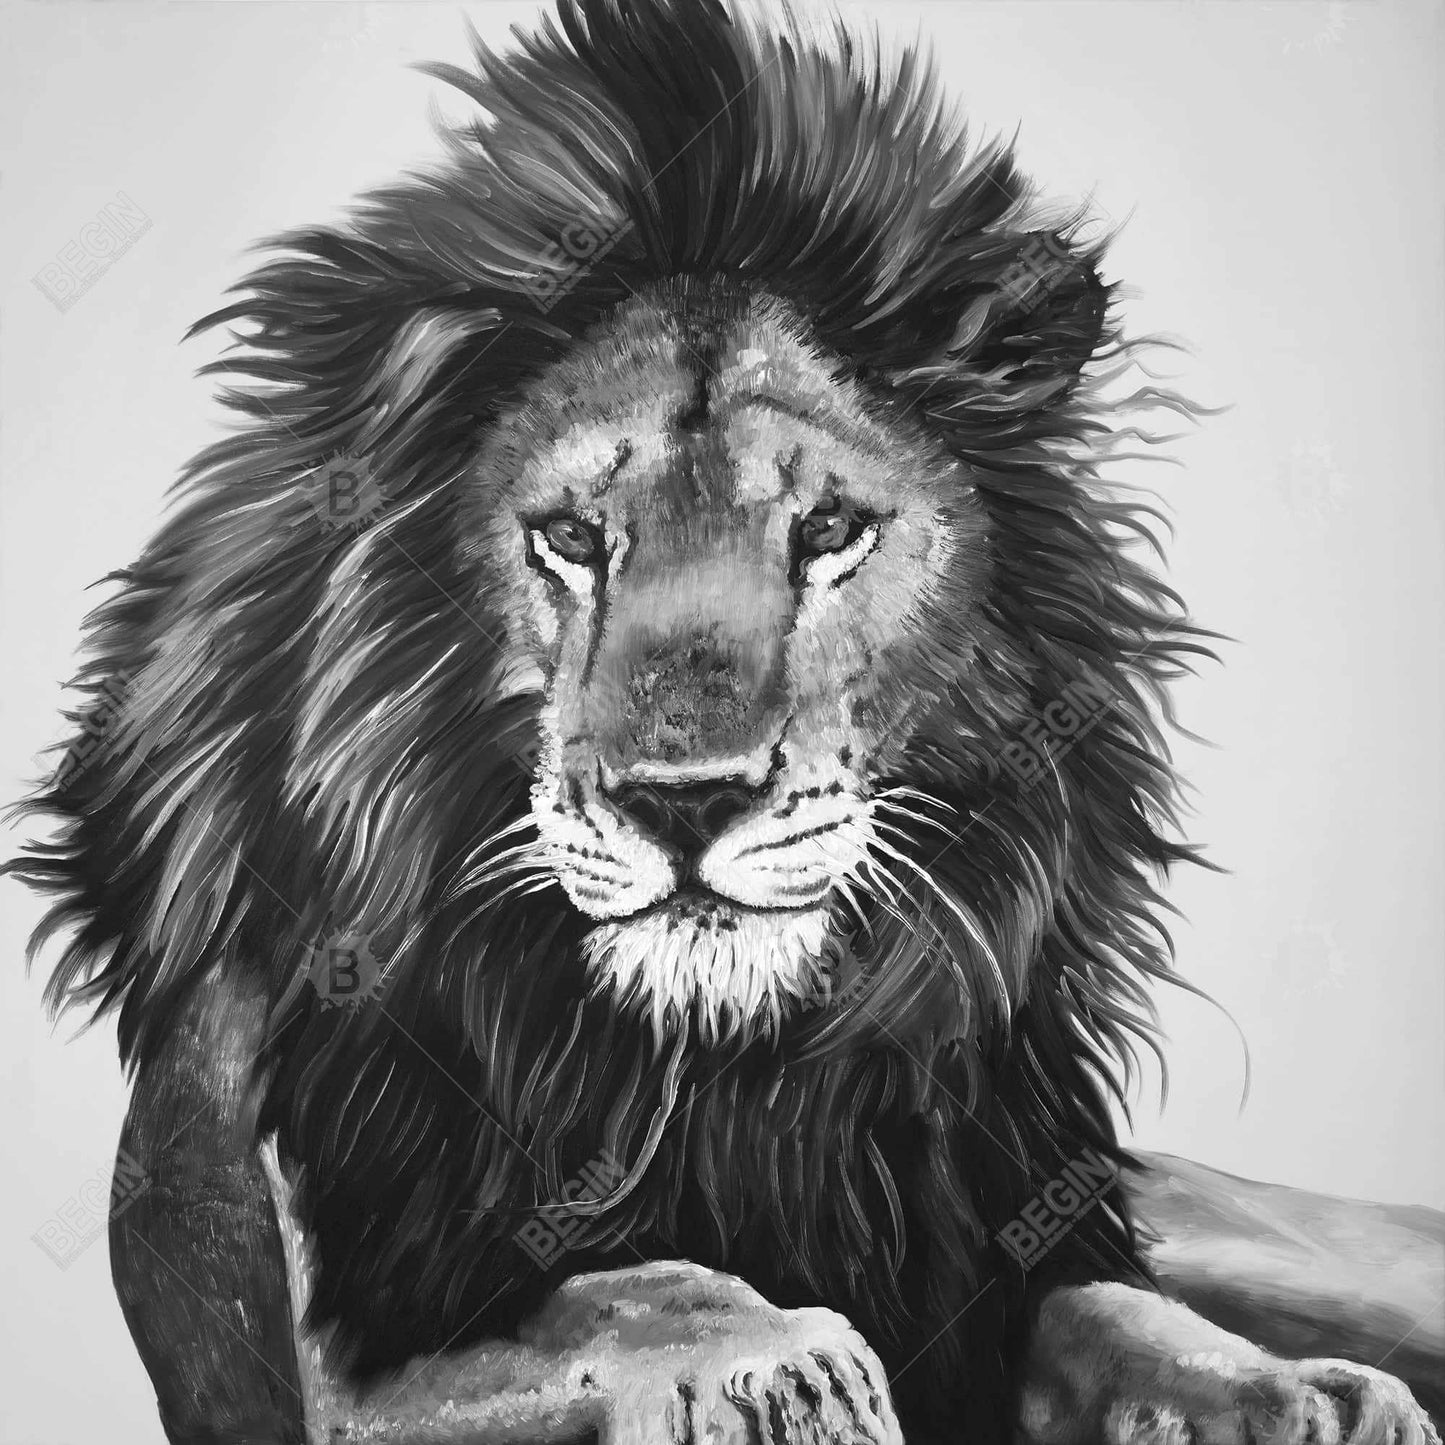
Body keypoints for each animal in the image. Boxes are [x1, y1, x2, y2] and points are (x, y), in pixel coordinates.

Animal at [9, 1, 1439, 1443]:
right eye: (572, 538)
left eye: (827, 530)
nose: (685, 800)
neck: (721, 1069)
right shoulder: (340, 1357)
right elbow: (632, 1285)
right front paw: (783, 1360)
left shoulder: (1002, 1223)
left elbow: (1129, 1316)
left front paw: (1306, 1393)